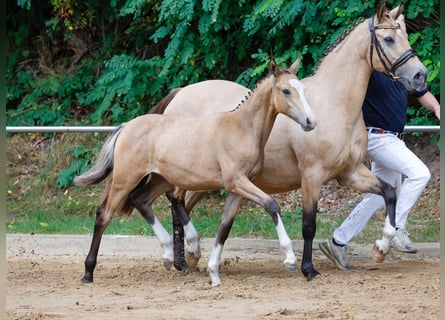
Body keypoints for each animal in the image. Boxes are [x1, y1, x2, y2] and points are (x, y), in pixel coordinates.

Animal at [73, 58, 316, 284]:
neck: (242, 128)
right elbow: (271, 205)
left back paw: (169, 254)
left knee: (141, 199)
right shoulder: (236, 181)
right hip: (125, 179)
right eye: (286, 90)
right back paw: (88, 272)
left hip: (161, 179)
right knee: (104, 214)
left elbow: (224, 227)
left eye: (303, 90)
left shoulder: (238, 189)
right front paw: (290, 260)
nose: (310, 121)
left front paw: (214, 273)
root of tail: (126, 127)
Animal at [152, 3, 426, 282]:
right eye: (389, 38)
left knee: (180, 205)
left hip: (206, 181)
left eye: (404, 34)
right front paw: (307, 268)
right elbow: (309, 225)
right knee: (175, 201)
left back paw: (185, 260)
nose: (419, 75)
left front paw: (381, 248)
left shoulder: (350, 173)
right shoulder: (312, 176)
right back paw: (186, 254)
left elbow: (389, 193)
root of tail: (179, 94)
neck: (334, 104)